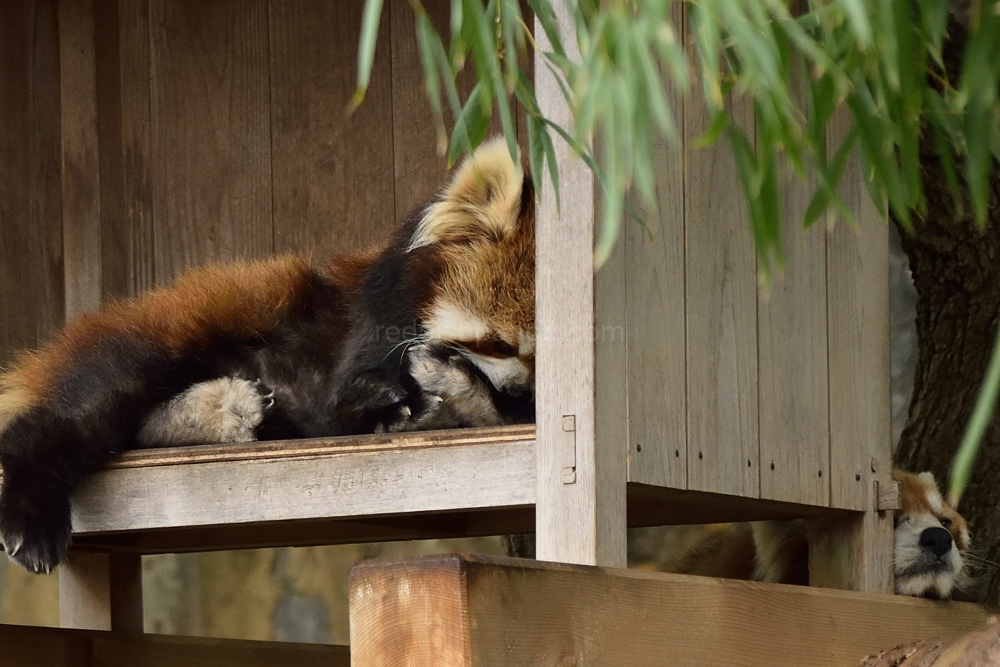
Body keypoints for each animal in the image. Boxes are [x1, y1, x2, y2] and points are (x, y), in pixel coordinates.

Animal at [0, 137, 540, 576]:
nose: (516, 388)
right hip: (187, 327)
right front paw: (408, 395)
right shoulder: (358, 331)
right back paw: (32, 517)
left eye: (538, 359)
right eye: (498, 342)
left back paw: (223, 411)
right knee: (86, 408)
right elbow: (346, 397)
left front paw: (459, 395)